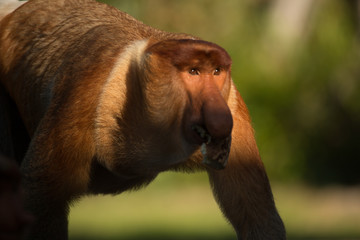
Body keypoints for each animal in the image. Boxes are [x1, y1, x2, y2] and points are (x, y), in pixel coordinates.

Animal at [0, 0, 286, 240]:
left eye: (216, 71)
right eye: (194, 71)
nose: (218, 115)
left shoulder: (233, 105)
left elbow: (256, 218)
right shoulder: (86, 84)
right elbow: (42, 197)